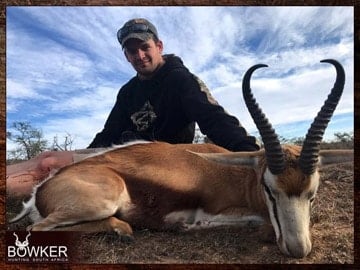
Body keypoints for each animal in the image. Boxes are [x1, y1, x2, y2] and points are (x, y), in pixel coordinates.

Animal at [9, 58, 352, 258]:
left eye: (312, 193)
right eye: (270, 189)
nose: (298, 250)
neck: (239, 178)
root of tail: (40, 191)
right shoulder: (215, 212)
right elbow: (256, 224)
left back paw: (123, 232)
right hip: (101, 201)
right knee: (35, 231)